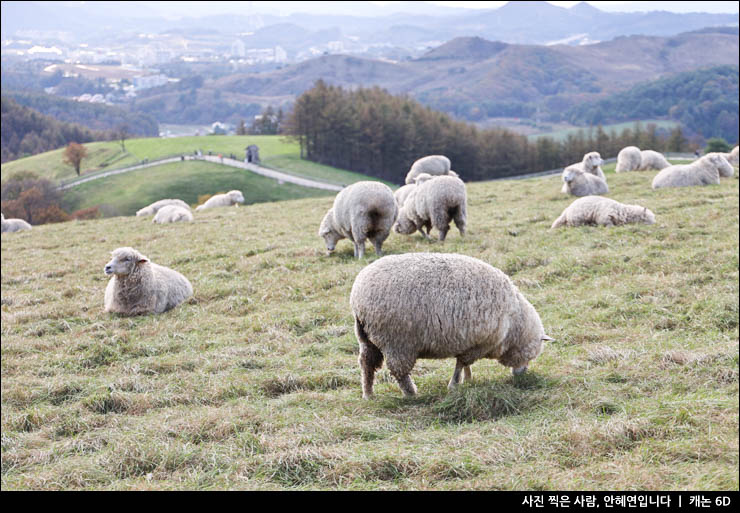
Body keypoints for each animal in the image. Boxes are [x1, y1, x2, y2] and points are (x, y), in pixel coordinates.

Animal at [350, 250, 552, 398]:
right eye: (531, 355)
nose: (521, 374)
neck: (514, 323)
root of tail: (358, 297)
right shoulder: (479, 343)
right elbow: (461, 363)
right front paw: (455, 384)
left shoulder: (469, 341)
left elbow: (463, 363)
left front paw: (468, 379)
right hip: (397, 341)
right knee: (399, 372)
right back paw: (411, 394)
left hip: (367, 338)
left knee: (366, 364)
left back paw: (368, 394)